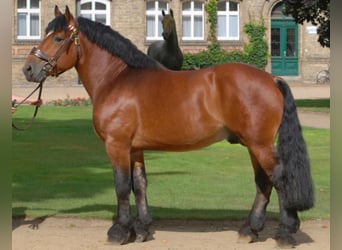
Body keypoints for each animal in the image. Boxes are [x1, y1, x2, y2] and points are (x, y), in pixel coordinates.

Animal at [22, 5, 314, 248]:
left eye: (58, 38)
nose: (28, 69)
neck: (116, 79)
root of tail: (271, 79)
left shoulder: (117, 145)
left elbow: (121, 186)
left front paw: (119, 231)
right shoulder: (134, 148)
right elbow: (139, 185)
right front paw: (141, 229)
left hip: (259, 144)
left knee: (279, 178)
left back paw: (285, 233)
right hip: (253, 145)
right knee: (263, 182)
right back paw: (249, 230)